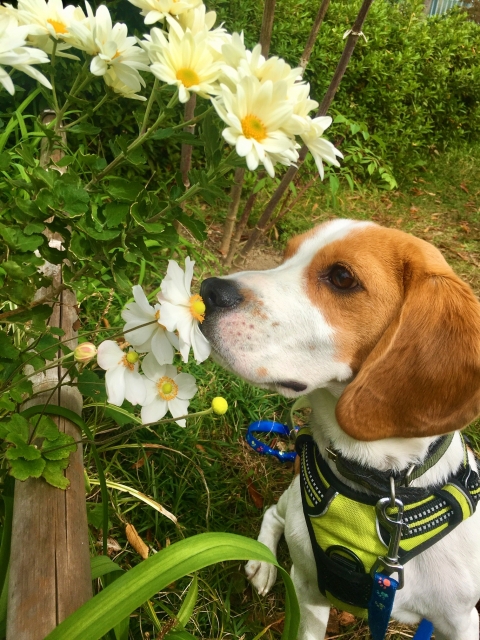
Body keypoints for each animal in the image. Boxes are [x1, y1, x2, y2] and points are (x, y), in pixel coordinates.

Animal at [201, 221, 480, 640]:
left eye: (342, 277)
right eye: (286, 255)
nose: (206, 290)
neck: (381, 488)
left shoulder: (463, 620)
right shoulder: (308, 592)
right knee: (272, 514)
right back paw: (263, 563)